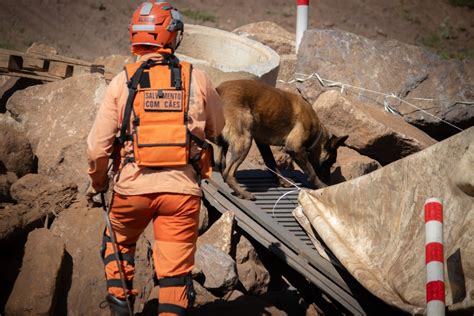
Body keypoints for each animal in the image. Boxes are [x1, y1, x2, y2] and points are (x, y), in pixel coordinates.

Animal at [216, 79, 348, 200]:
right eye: (330, 163)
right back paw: (243, 193)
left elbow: (272, 163)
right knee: (228, 173)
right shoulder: (294, 147)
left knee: (221, 164)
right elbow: (311, 172)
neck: (317, 133)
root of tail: (218, 92)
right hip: (245, 141)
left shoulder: (262, 143)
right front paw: (320, 186)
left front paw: (282, 181)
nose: (330, 184)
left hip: (228, 142)